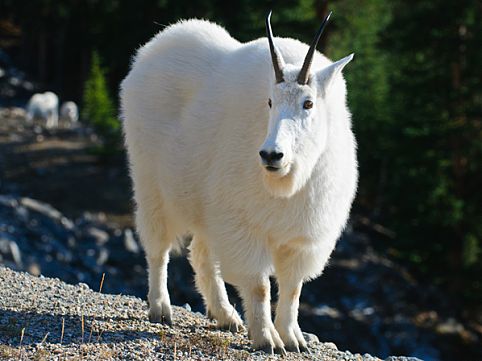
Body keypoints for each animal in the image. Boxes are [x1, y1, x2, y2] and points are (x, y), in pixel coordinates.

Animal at [120, 11, 358, 354]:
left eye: (309, 103)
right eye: (269, 102)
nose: (271, 154)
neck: (287, 184)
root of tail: (150, 50)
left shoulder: (301, 237)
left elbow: (292, 289)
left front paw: (293, 338)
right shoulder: (242, 225)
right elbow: (259, 286)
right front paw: (268, 339)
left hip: (207, 208)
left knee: (202, 254)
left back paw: (226, 315)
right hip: (151, 183)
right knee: (158, 247)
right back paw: (161, 308)